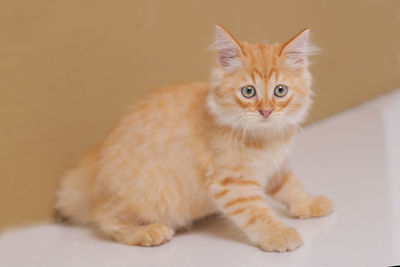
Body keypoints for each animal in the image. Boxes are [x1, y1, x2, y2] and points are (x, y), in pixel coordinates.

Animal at [54, 25, 332, 253]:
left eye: (280, 91)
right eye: (248, 92)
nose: (266, 111)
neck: (265, 139)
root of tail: (95, 166)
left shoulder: (277, 168)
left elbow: (291, 187)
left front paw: (309, 203)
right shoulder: (231, 184)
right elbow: (256, 213)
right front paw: (278, 234)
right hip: (149, 196)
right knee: (103, 218)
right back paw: (149, 232)